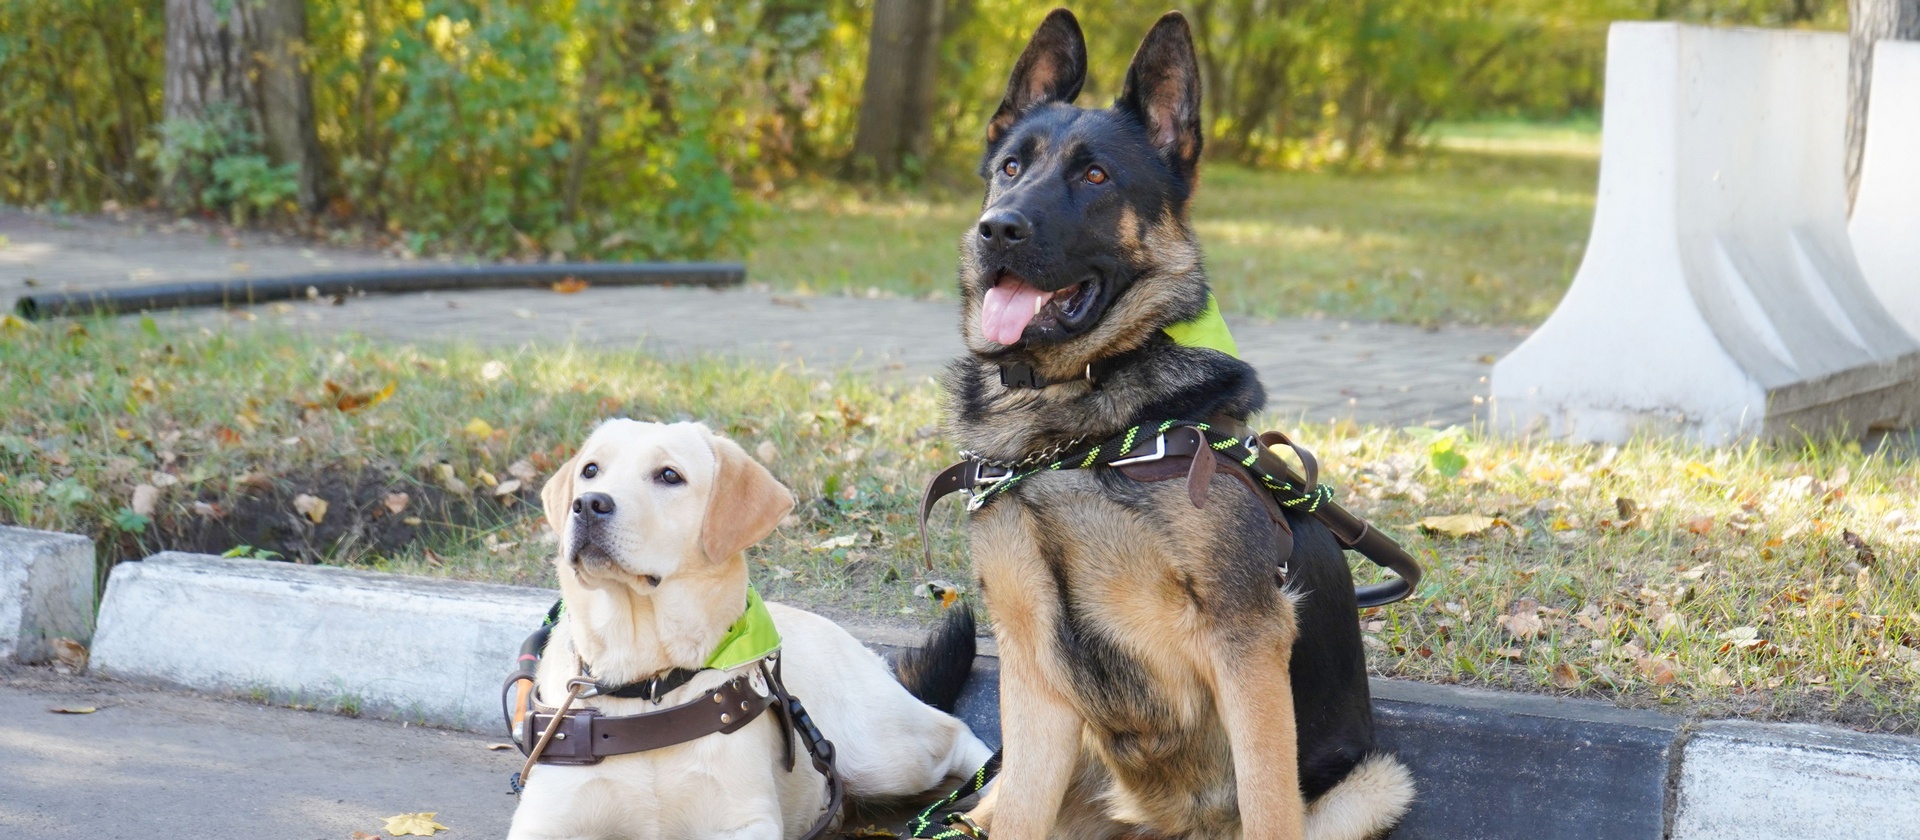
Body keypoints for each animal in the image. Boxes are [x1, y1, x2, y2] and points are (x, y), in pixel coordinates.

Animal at [510, 420, 990, 840]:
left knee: (956, 734)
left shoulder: (743, 821)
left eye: (669, 475)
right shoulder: (544, 823)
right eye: (590, 470)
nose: (589, 503)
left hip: (884, 753)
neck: (647, 683)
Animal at [940, 8, 1413, 840]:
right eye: (1010, 167)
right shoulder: (1032, 677)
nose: (996, 230)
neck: (1074, 430)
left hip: (1375, 783)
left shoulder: (1247, 645)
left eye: (1095, 177)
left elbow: (1268, 806)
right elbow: (1021, 812)